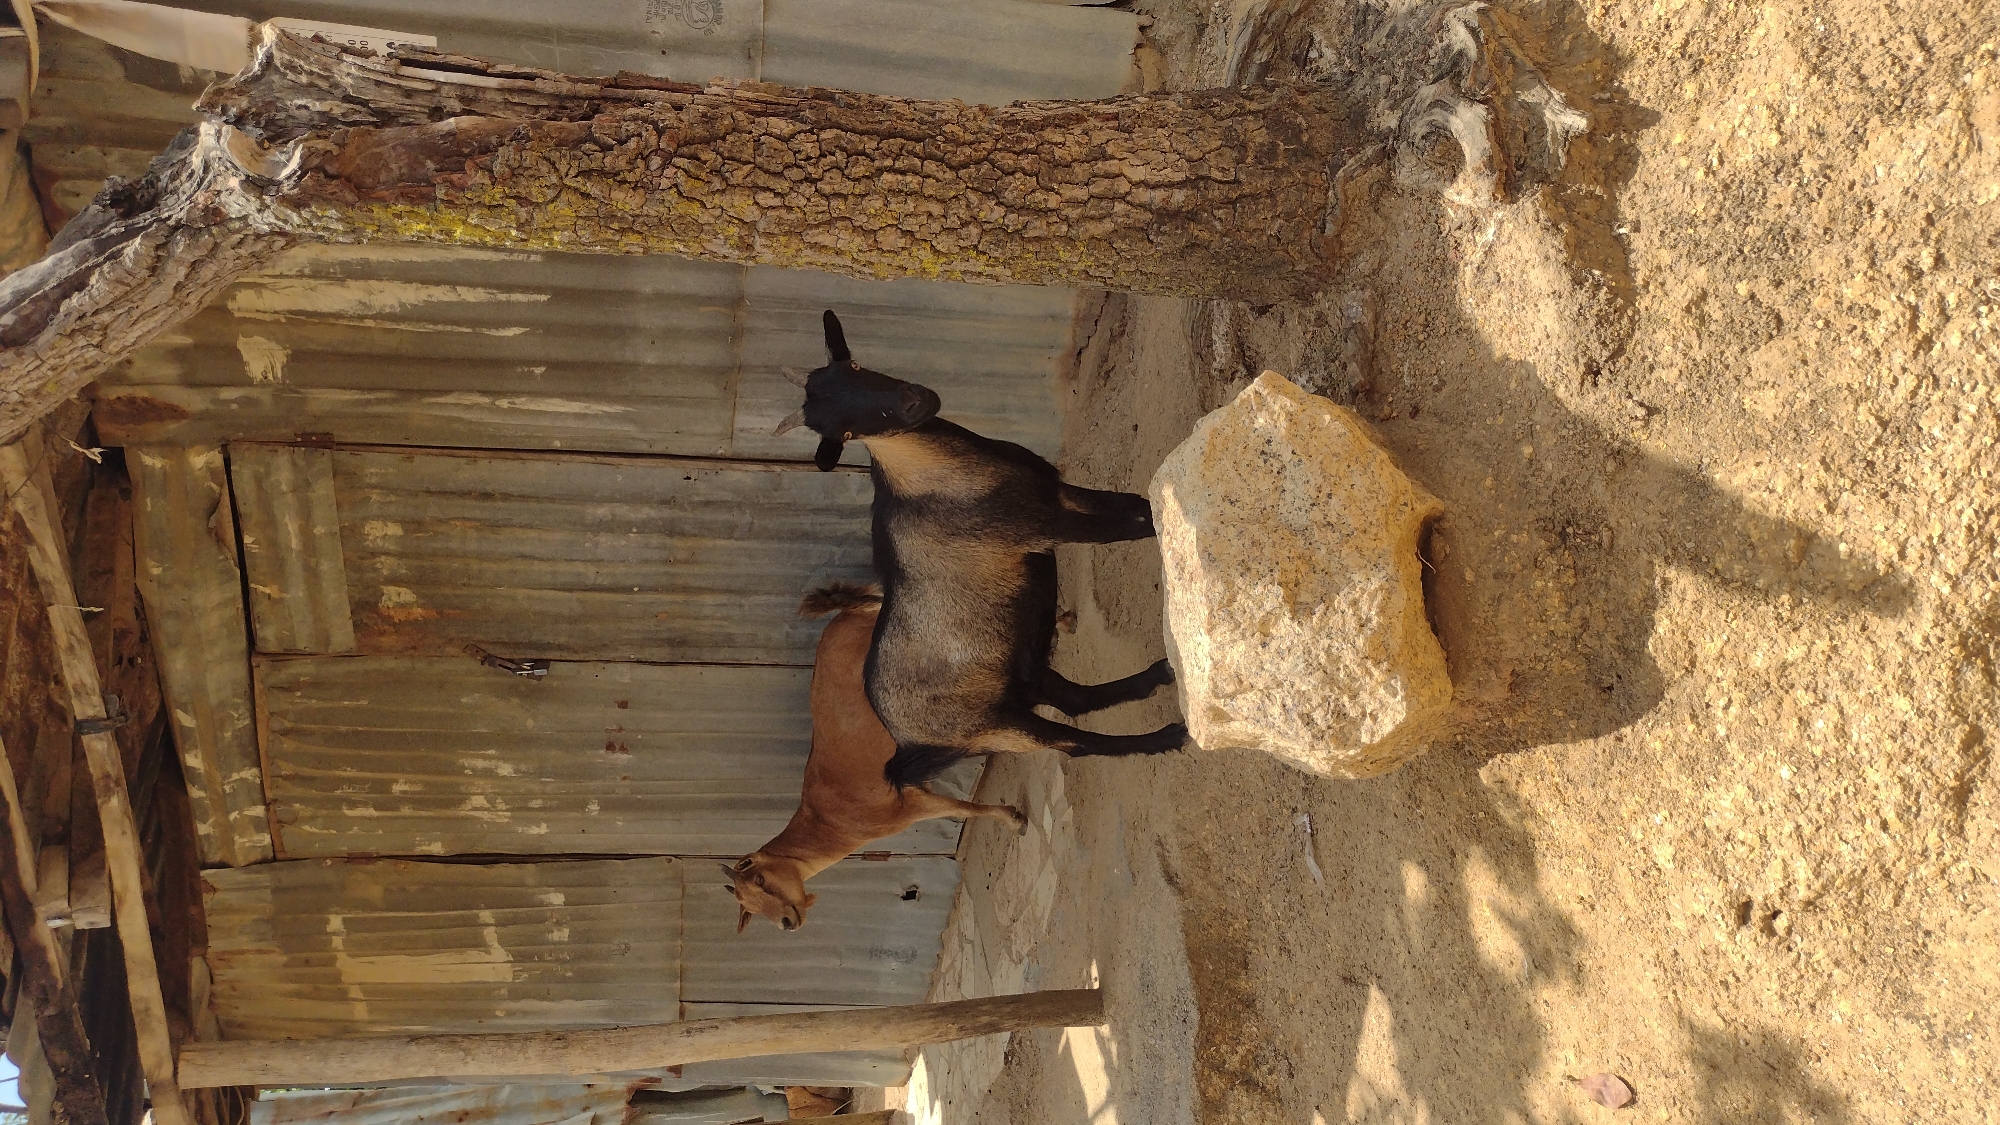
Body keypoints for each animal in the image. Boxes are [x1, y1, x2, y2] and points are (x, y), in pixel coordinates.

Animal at [724, 582, 1027, 933]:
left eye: (760, 879)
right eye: (750, 906)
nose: (787, 922)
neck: (831, 822)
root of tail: (850, 611)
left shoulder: (910, 808)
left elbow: (964, 808)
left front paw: (1015, 819)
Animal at [774, 310, 1186, 791]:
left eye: (854, 366)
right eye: (847, 431)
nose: (913, 402)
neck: (930, 474)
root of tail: (905, 746)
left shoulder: (1054, 493)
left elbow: (1133, 504)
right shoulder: (1044, 527)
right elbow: (1130, 529)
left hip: (1018, 675)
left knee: (1073, 699)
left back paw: (1156, 676)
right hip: (995, 727)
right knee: (1074, 742)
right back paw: (1165, 736)